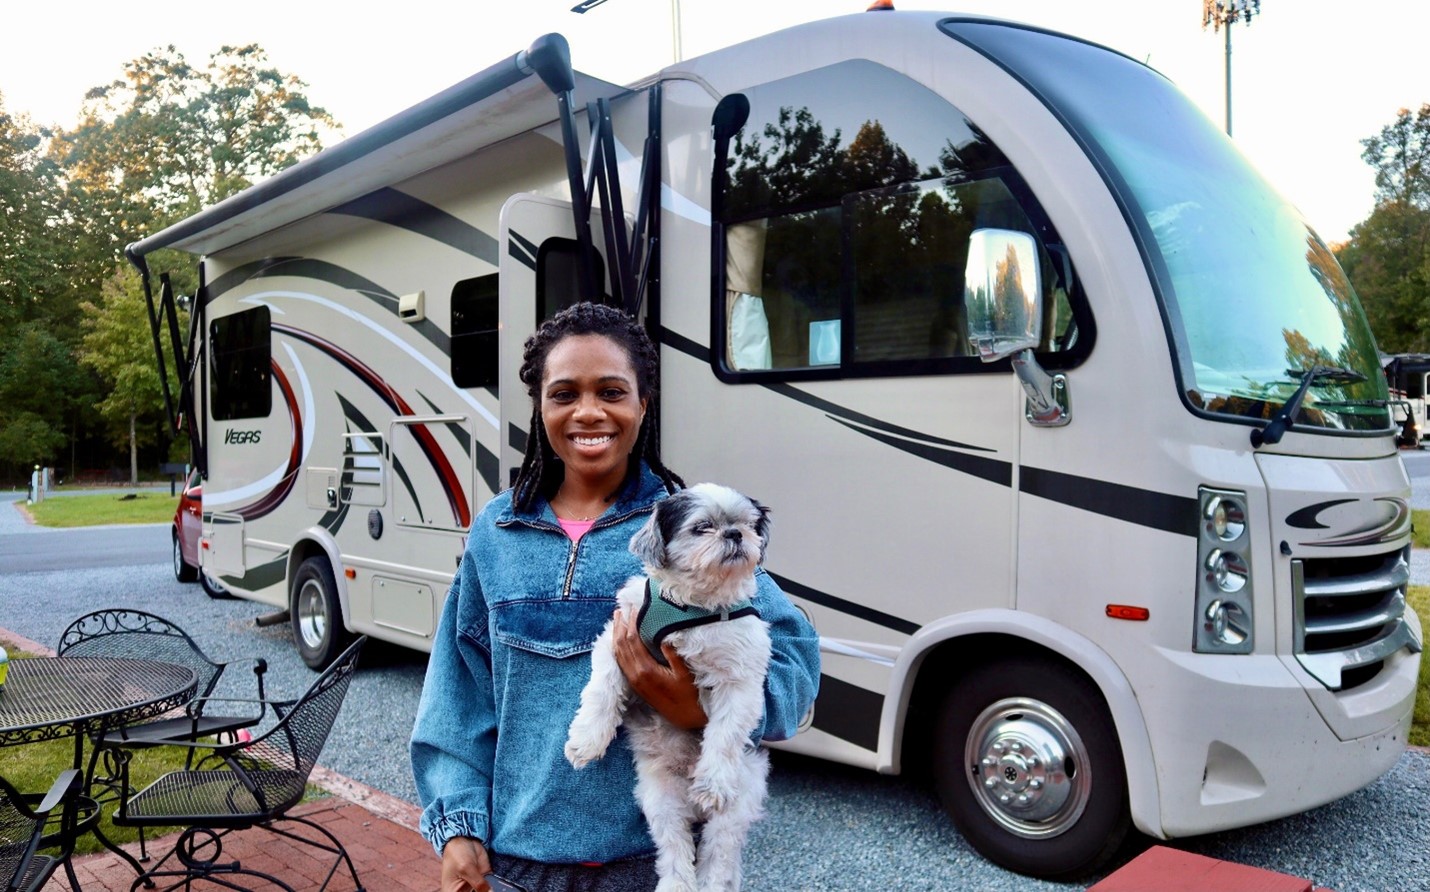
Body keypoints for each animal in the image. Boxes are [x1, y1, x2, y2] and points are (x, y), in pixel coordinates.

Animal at [563, 483, 777, 892]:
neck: (691, 608)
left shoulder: (740, 678)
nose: (734, 534)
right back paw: (676, 883)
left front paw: (712, 782)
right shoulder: (618, 638)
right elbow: (601, 689)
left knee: (716, 857)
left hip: (737, 804)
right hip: (659, 800)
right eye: (702, 527)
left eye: (747, 524)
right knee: (675, 848)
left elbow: (725, 734)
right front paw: (587, 740)